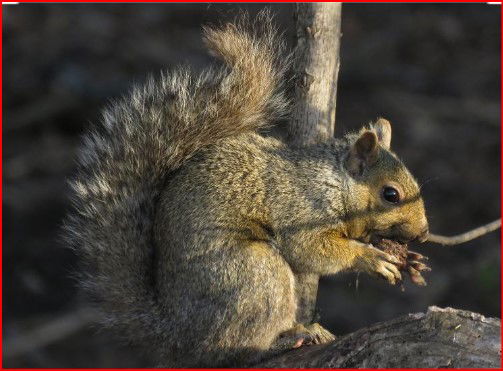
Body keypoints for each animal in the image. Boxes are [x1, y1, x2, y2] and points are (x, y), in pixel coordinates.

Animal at [64, 10, 430, 370]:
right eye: (391, 194)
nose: (424, 233)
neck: (332, 181)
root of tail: (176, 335)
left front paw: (410, 260)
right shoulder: (301, 209)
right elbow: (311, 249)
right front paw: (369, 257)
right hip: (255, 275)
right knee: (232, 350)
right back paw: (286, 339)